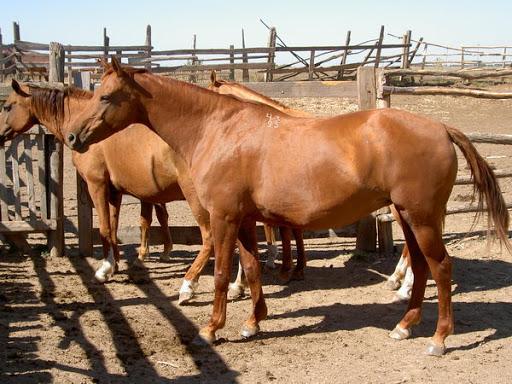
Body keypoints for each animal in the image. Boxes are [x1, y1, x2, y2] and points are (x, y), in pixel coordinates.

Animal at [66, 58, 510, 356]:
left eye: (106, 96)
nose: (72, 136)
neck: (219, 129)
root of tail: (441, 127)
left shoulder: (224, 219)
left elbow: (222, 273)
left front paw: (212, 328)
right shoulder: (245, 220)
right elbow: (250, 268)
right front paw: (252, 323)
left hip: (421, 218)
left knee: (441, 268)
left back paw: (439, 339)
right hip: (407, 217)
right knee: (419, 266)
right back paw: (403, 326)